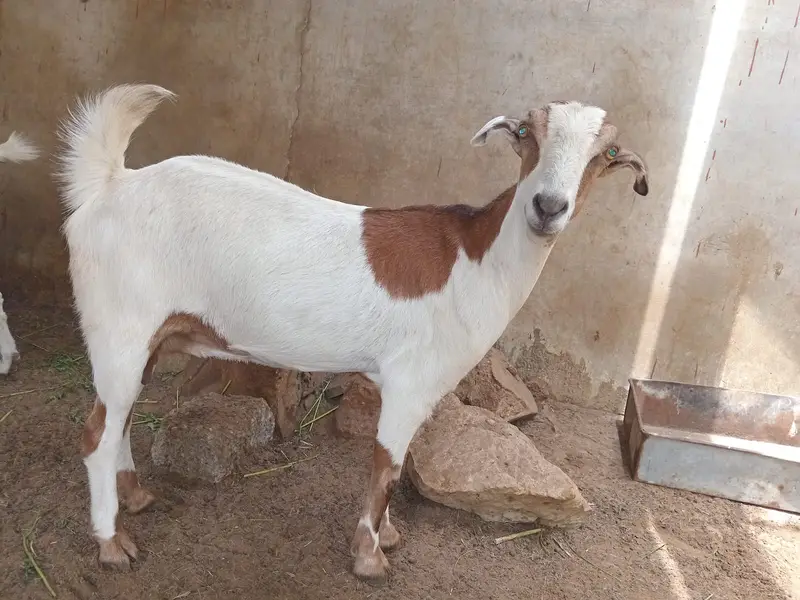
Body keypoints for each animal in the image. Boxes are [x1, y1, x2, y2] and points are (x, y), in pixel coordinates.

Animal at [57, 84, 649, 583]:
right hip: (120, 327)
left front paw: (388, 534)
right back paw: (111, 544)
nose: (548, 207)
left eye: (607, 154)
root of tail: (109, 186)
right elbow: (387, 466)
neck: (477, 259)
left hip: (146, 339)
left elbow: (398, 465)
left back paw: (134, 498)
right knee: (95, 434)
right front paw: (370, 556)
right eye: (526, 134)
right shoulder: (410, 382)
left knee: (120, 418)